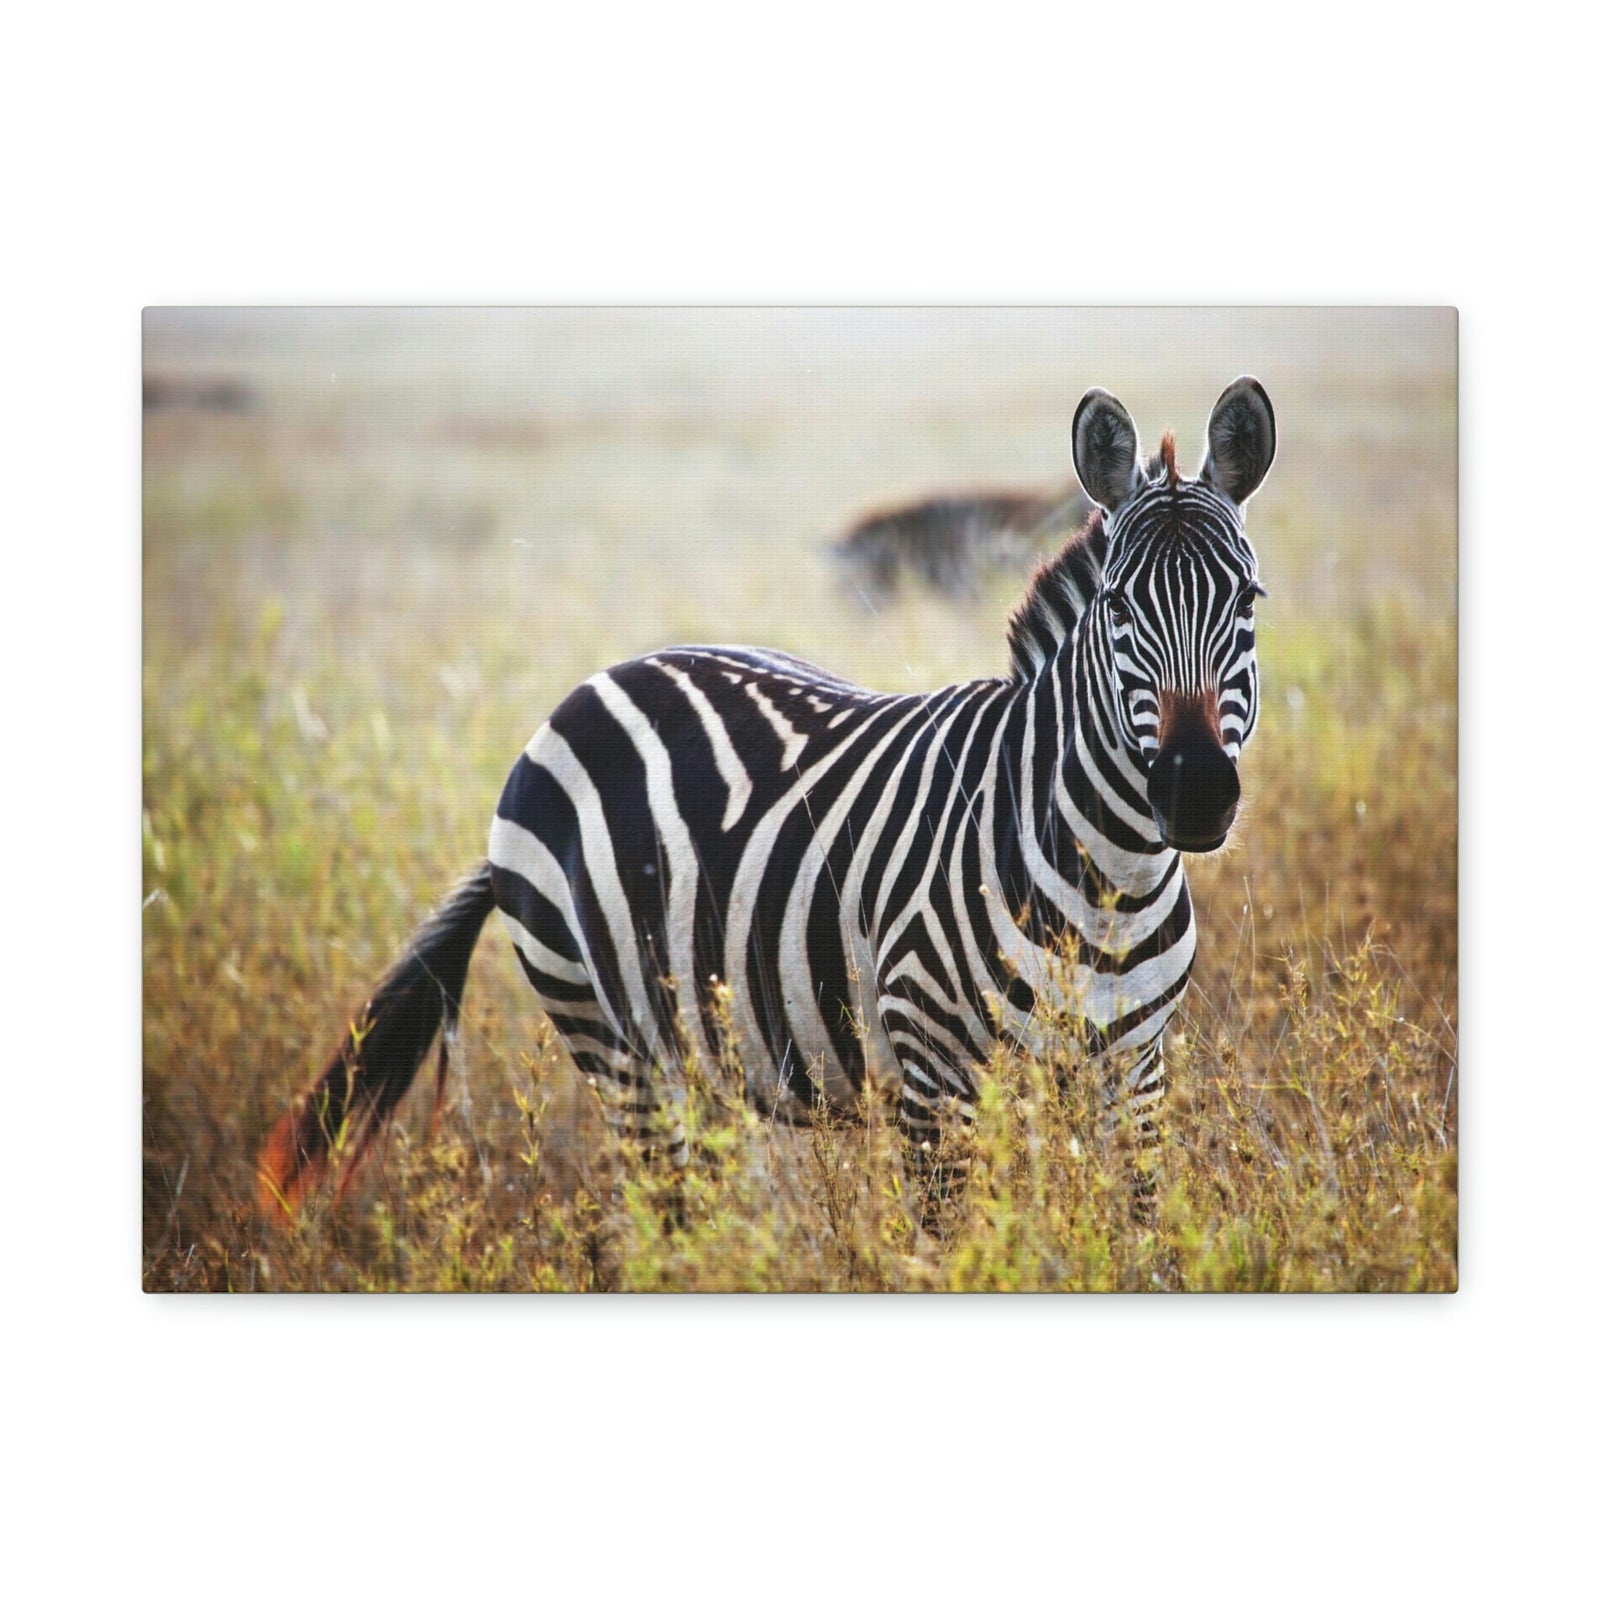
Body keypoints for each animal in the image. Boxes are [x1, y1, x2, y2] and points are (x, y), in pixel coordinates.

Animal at [257, 377, 1276, 1229]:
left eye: (1250, 600)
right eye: (1118, 608)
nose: (1192, 792)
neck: (1110, 877)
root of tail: (588, 687)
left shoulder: (1135, 1075)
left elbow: (1133, 1235)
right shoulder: (934, 1073)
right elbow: (956, 1247)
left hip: (699, 1053)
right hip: (616, 1044)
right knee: (665, 1223)